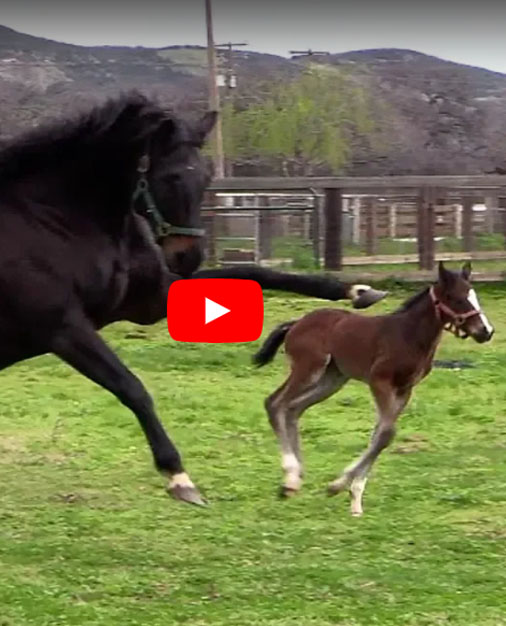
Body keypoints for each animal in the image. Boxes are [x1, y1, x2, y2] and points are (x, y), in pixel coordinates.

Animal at [0, 91, 386, 502]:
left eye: (205, 177)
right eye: (170, 176)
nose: (188, 256)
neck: (55, 218)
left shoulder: (149, 301)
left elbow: (256, 273)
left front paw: (356, 291)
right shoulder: (62, 327)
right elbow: (131, 387)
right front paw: (178, 476)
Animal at [255, 260, 492, 516]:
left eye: (473, 295)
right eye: (455, 298)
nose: (486, 331)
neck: (408, 334)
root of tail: (296, 323)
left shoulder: (405, 389)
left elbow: (379, 435)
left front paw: (355, 497)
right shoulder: (380, 381)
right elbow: (386, 434)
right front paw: (338, 485)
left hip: (332, 379)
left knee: (293, 408)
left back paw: (295, 479)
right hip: (308, 369)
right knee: (275, 403)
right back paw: (289, 478)